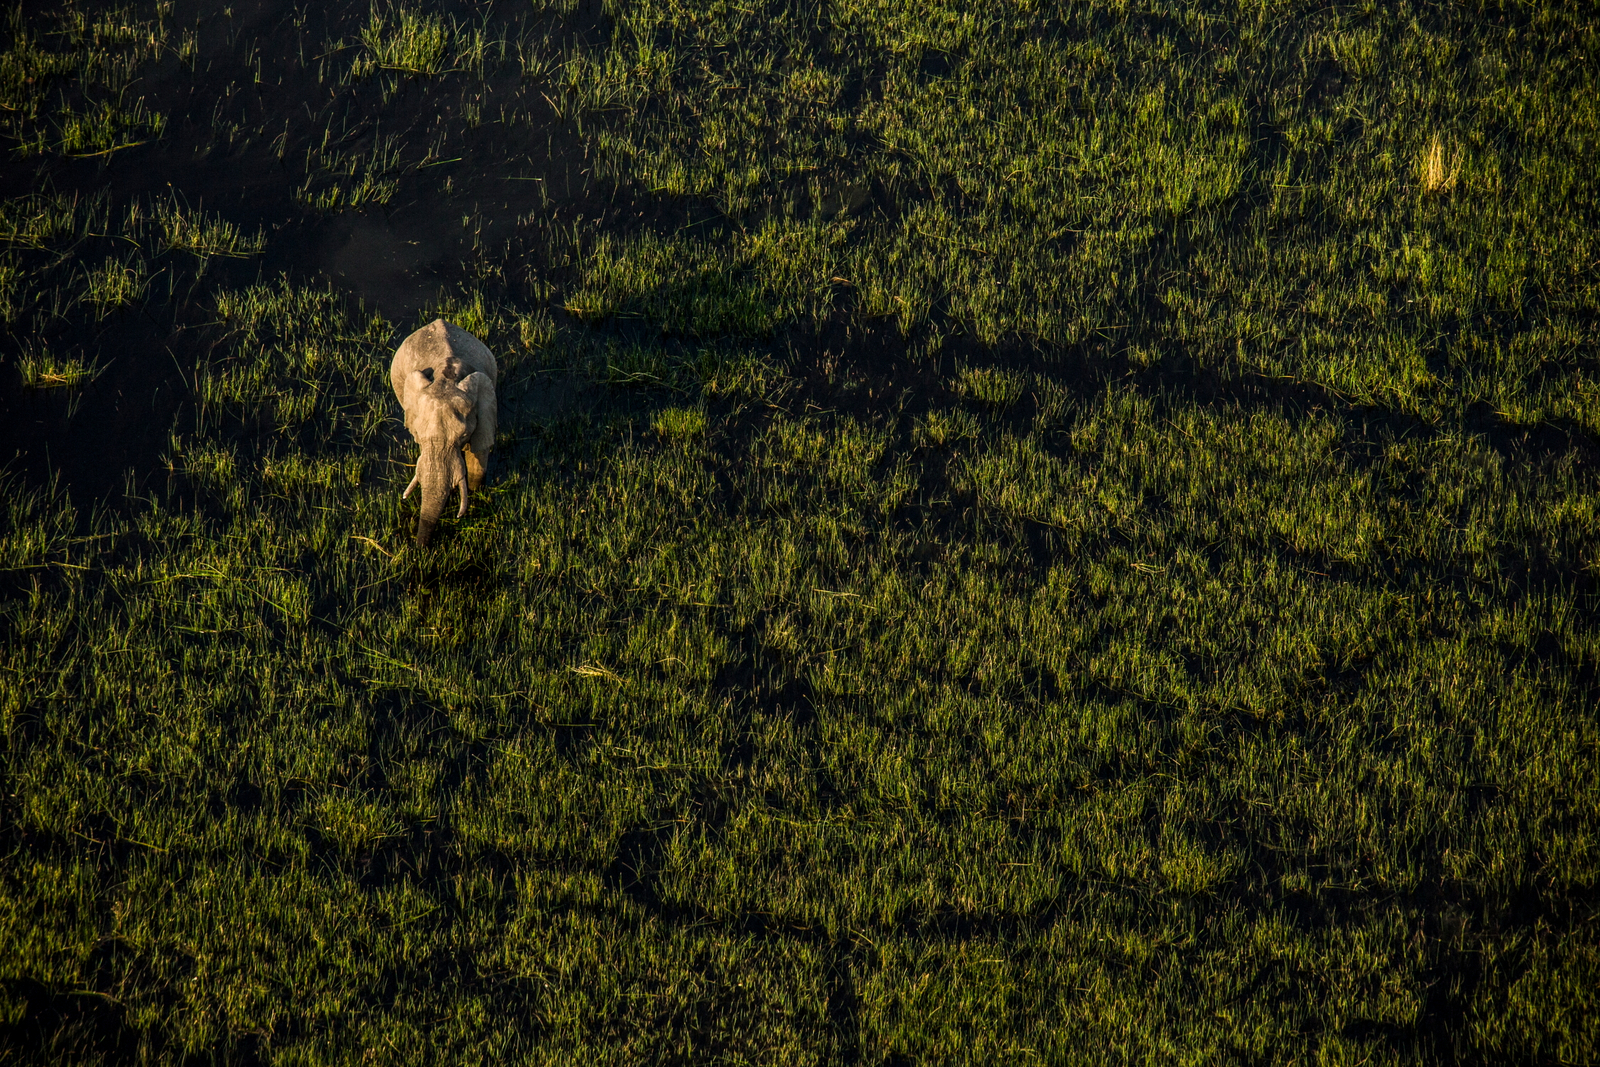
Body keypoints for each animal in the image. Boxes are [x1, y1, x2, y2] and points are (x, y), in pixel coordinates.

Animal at [389, 318, 498, 548]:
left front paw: (475, 494)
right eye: (419, 437)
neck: (445, 378)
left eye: (463, 436)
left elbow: (478, 461)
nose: (419, 549)